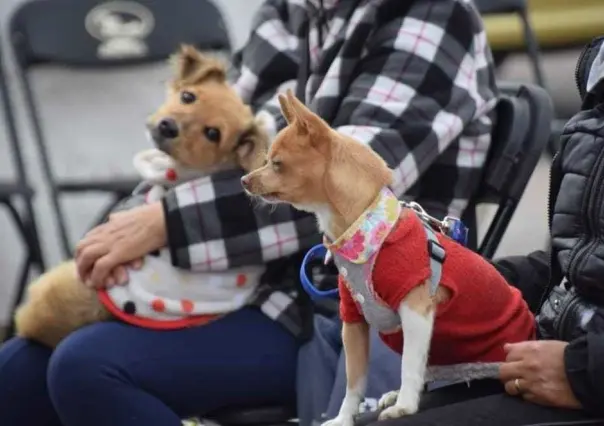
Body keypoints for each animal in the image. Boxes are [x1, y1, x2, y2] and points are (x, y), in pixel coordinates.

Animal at [241, 89, 532, 422]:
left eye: (277, 164)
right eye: (265, 161)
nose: (244, 180)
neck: (365, 227)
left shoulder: (415, 311)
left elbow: (408, 365)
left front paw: (405, 406)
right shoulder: (353, 321)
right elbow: (354, 381)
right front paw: (344, 419)